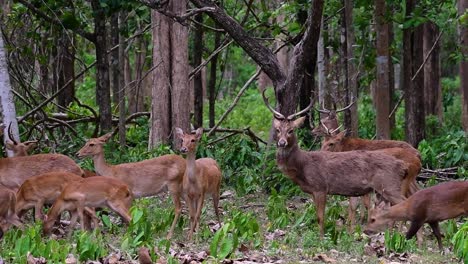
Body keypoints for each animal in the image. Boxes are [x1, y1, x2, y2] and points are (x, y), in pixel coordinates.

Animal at [264, 89, 406, 236]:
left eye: (291, 130)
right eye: (277, 130)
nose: (282, 143)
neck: (302, 165)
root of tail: (402, 166)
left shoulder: (321, 187)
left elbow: (321, 217)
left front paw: (321, 237)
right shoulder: (313, 191)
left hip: (389, 185)